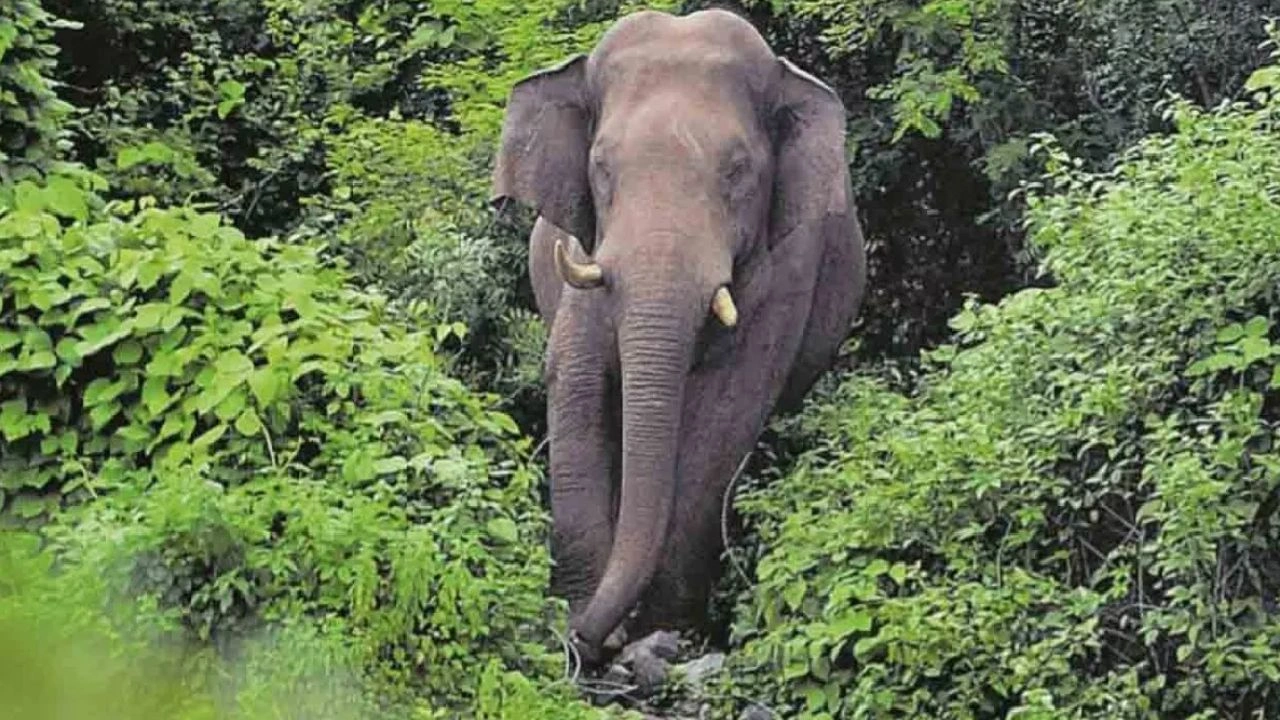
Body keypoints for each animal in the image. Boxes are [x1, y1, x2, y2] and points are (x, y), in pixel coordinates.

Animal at [490, 8, 867, 665]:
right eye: (601, 168)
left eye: (738, 172)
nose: (585, 643)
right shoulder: (586, 248)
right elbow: (577, 380)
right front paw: (586, 614)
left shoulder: (791, 263)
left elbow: (728, 409)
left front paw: (659, 630)